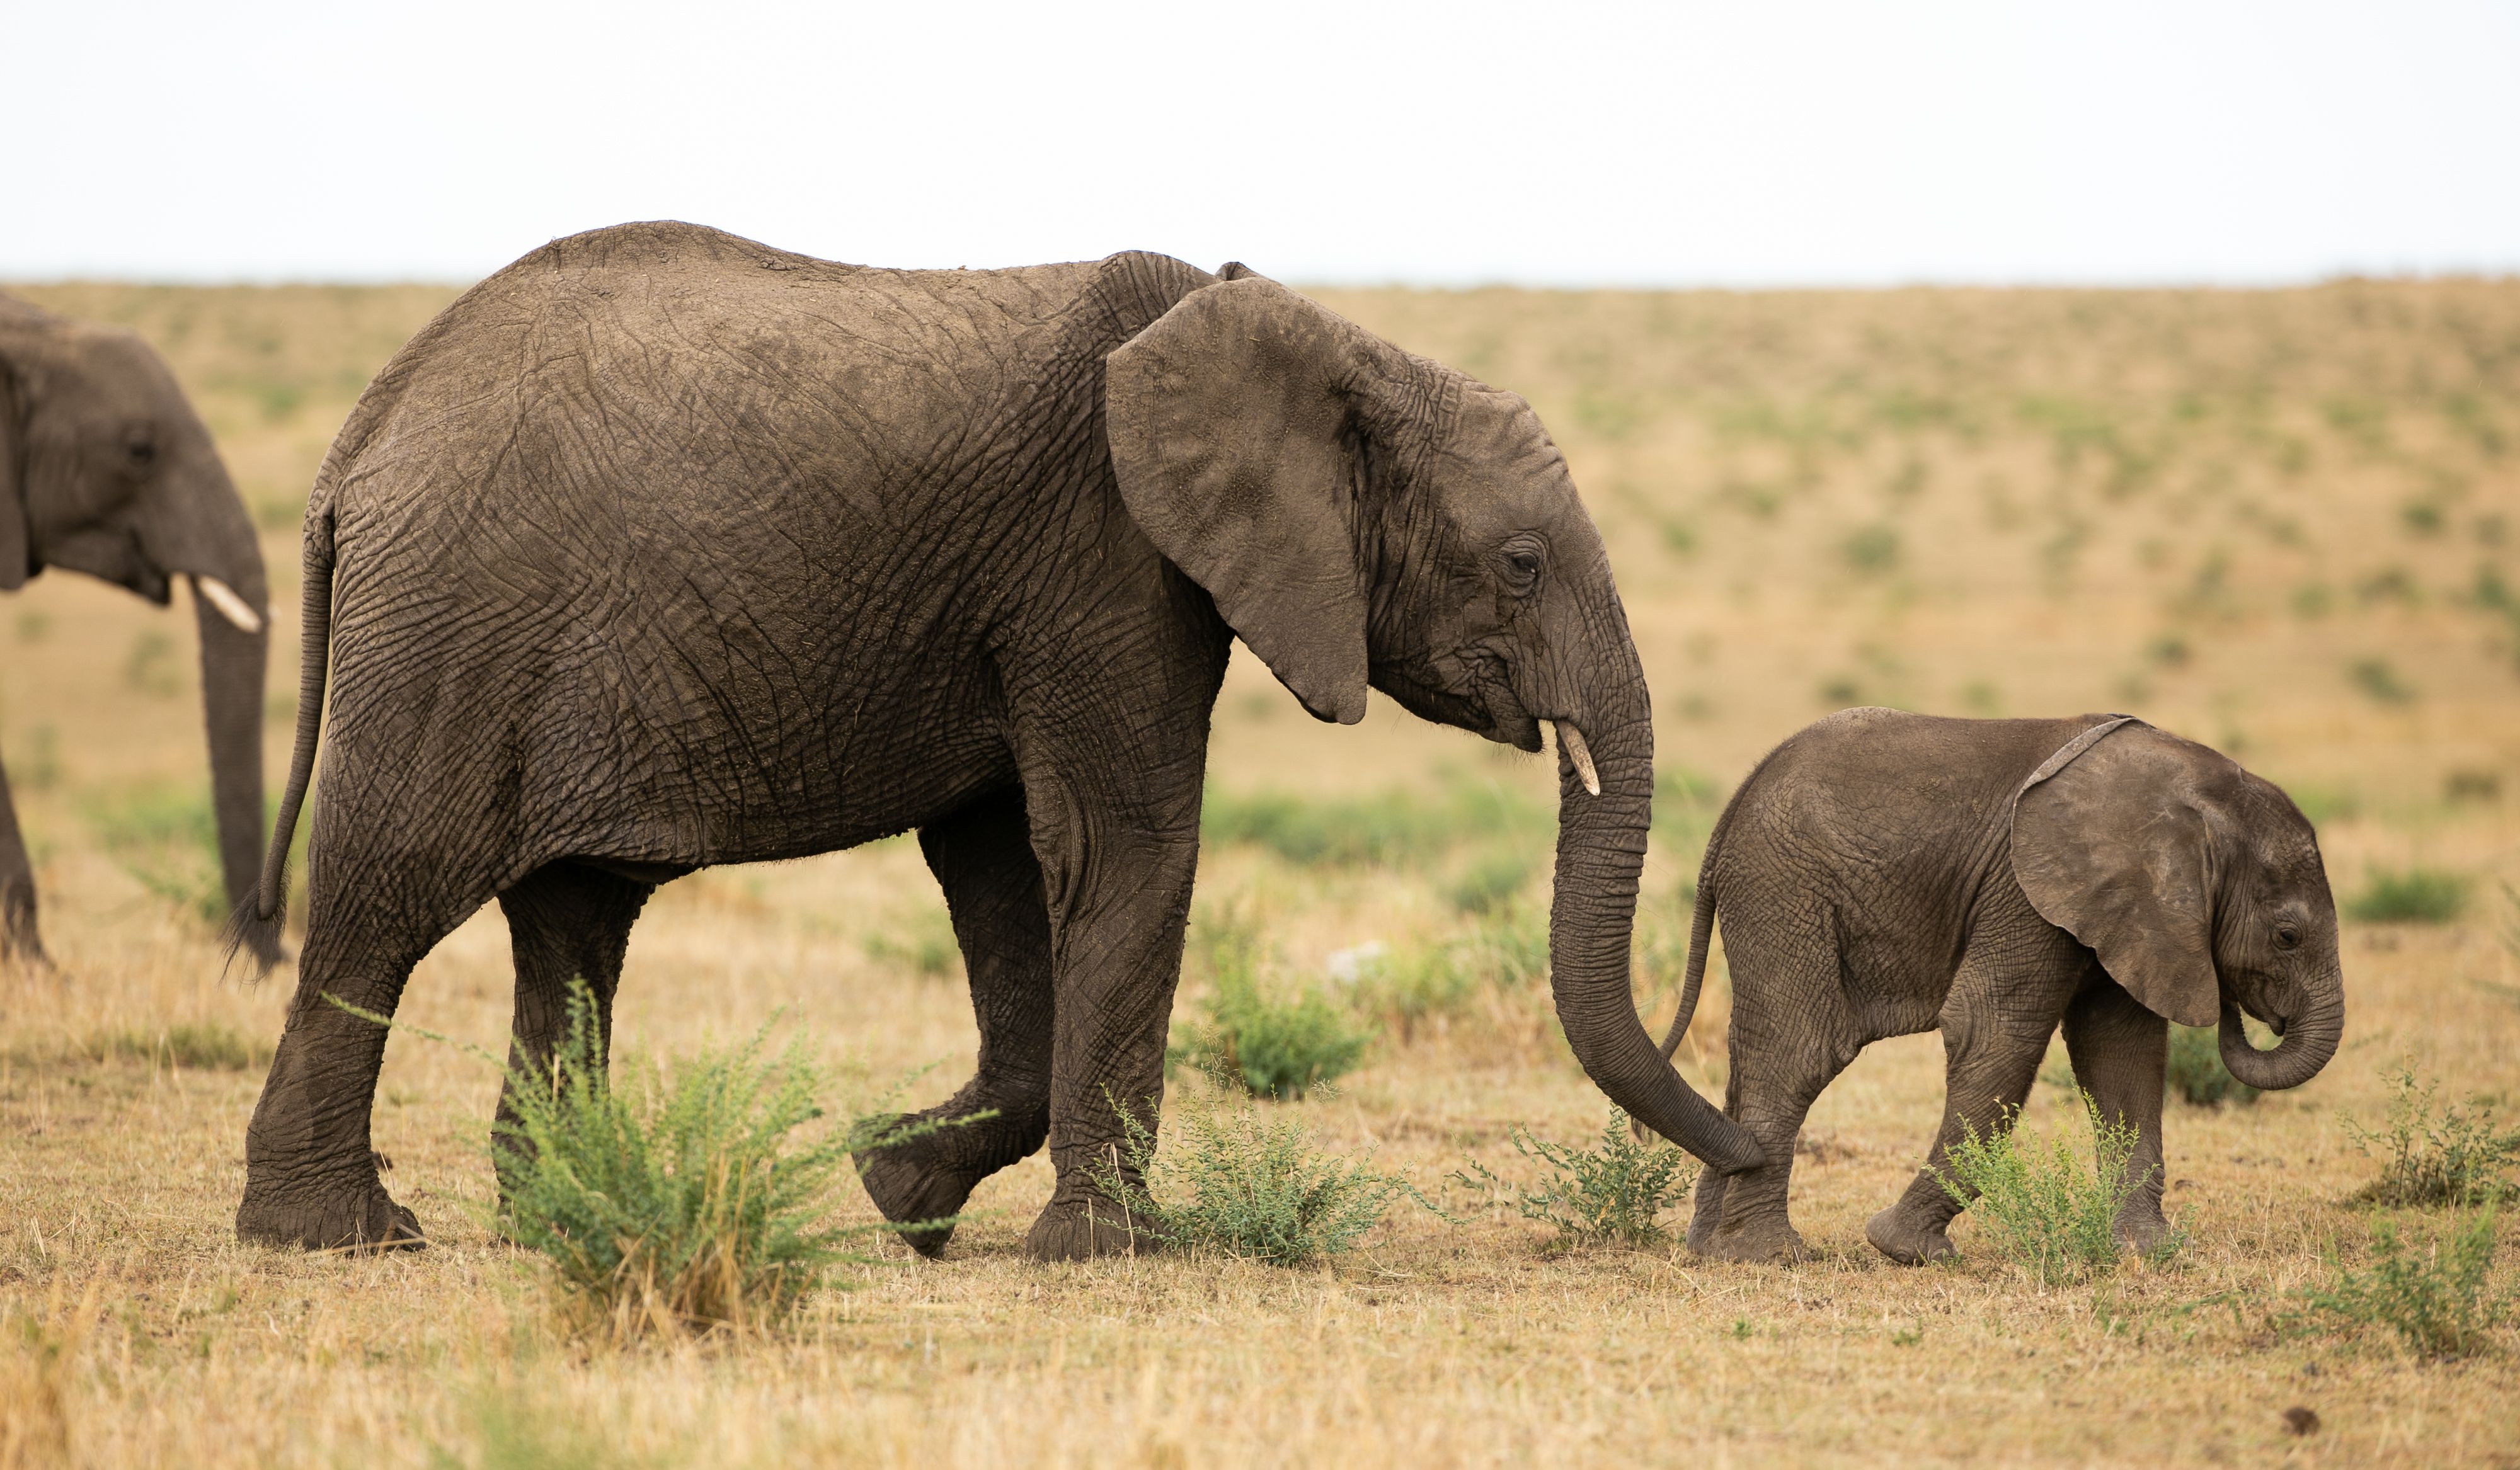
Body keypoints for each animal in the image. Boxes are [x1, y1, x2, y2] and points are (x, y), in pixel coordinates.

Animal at [230, 221, 1765, 1255]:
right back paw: (341, 1234)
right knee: (387, 896)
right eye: (1519, 564)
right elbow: (1123, 846)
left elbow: (1003, 867)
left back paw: (556, 1209)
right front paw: (1112, 1255)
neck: (1315, 342)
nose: (1752, 1154)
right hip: (452, 626)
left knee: (573, 924)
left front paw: (895, 1192)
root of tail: (357, 439)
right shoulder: (1103, 559)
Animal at [1655, 708, 2342, 1265]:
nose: (2247, 1011)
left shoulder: (2125, 910)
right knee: (1800, 1054)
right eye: (2287, 936)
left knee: (1754, 1060)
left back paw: (1710, 1250)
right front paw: (1906, 1250)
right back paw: (1768, 1256)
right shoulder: (2024, 892)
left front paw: (2148, 1251)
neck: (2187, 789)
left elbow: (2122, 1056)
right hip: (1785, 891)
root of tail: (1732, 809)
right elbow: (1994, 1033)